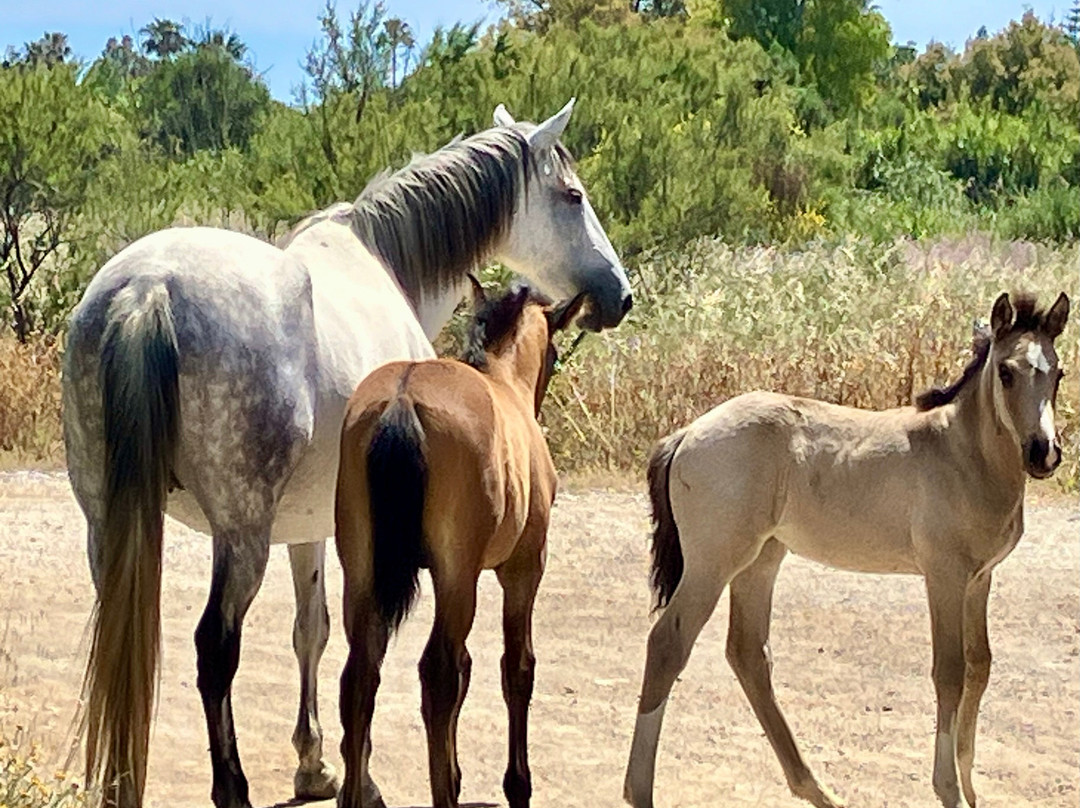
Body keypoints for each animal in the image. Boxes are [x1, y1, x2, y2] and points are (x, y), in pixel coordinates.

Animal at [333, 278, 584, 808]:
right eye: (553, 353)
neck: (503, 381)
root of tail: (402, 401)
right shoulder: (523, 570)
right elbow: (517, 668)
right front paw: (517, 784)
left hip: (362, 572)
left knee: (360, 676)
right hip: (455, 576)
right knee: (439, 673)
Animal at [623, 291, 1070, 808]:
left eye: (1058, 373)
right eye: (1006, 371)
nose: (1043, 453)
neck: (962, 455)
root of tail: (687, 433)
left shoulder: (980, 579)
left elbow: (980, 666)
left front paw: (971, 790)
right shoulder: (945, 577)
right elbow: (950, 672)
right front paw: (949, 790)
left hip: (762, 560)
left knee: (748, 653)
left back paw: (817, 789)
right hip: (713, 564)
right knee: (668, 644)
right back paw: (640, 791)